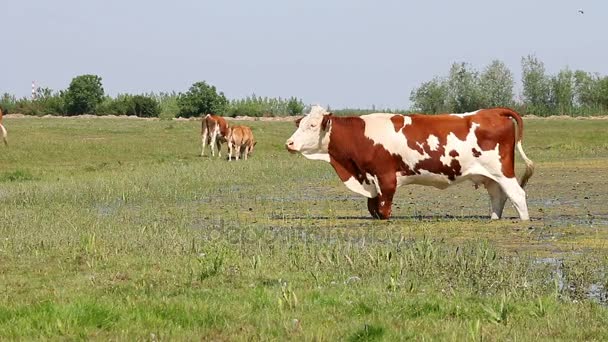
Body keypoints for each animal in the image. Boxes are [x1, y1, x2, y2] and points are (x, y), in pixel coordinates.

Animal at [284, 105, 532, 220]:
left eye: (312, 126)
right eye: (300, 123)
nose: (289, 143)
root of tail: (493, 111)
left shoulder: (385, 178)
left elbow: (383, 209)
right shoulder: (371, 180)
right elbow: (373, 208)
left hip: (503, 172)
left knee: (517, 195)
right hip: (491, 177)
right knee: (498, 197)